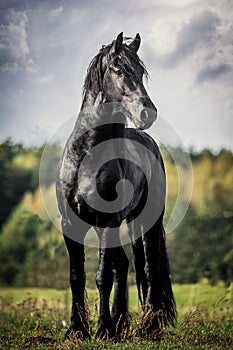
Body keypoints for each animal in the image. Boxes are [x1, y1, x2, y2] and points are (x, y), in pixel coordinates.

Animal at [56, 32, 176, 340]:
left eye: (142, 74)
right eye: (119, 70)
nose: (148, 114)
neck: (87, 154)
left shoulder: (106, 222)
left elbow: (102, 277)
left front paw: (102, 330)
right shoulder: (71, 224)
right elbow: (77, 276)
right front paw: (77, 329)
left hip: (143, 222)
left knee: (148, 266)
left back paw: (148, 327)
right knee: (123, 264)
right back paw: (122, 323)